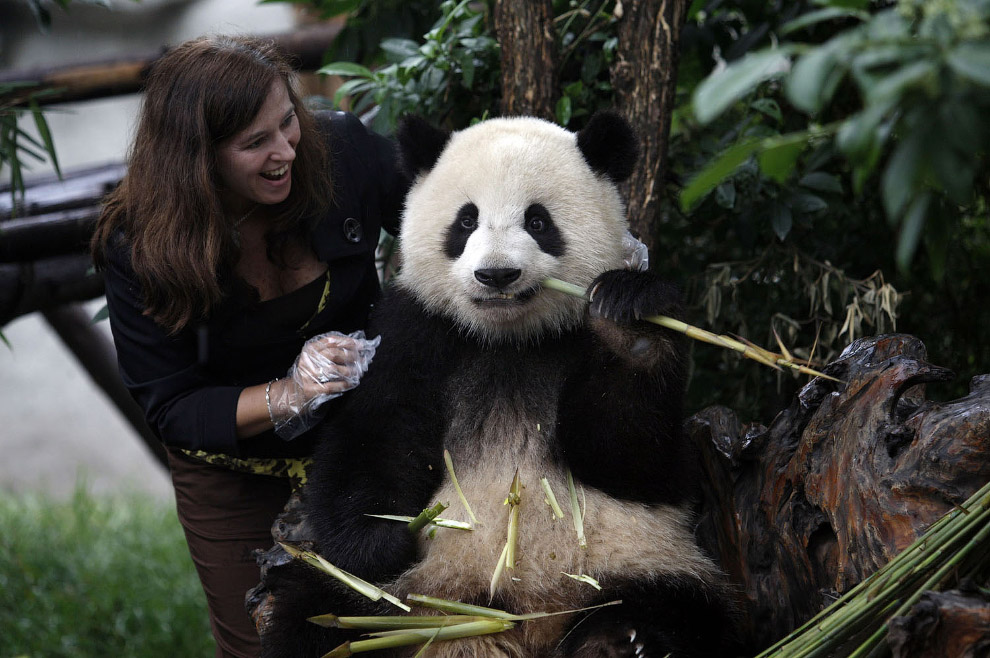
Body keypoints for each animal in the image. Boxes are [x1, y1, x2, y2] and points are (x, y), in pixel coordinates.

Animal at [260, 113, 740, 656]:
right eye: (466, 221)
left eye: (538, 222)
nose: (496, 275)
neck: (508, 339)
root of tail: (527, 622)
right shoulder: (416, 331)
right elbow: (374, 437)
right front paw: (385, 538)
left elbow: (632, 459)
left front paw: (631, 327)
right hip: (403, 594)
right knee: (317, 615)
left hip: (641, 557)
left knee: (682, 608)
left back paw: (626, 639)